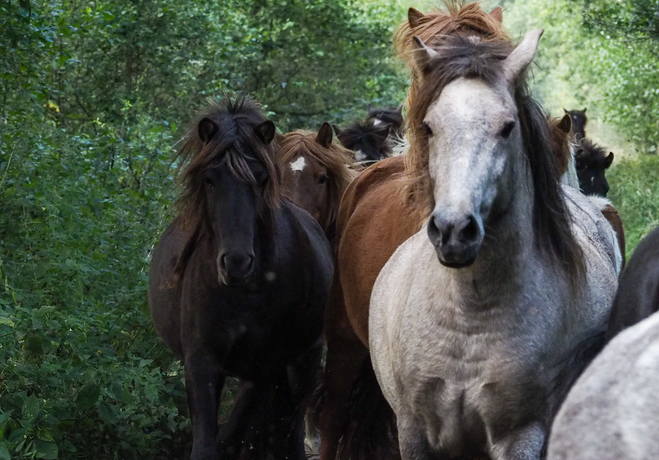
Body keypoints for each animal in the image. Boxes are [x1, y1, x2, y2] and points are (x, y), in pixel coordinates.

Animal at [150, 97, 336, 460]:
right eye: (209, 179)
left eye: (262, 179)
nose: (236, 262)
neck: (244, 294)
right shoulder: (202, 362)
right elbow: (210, 442)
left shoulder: (266, 365)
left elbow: (238, 432)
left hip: (303, 359)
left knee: (289, 425)